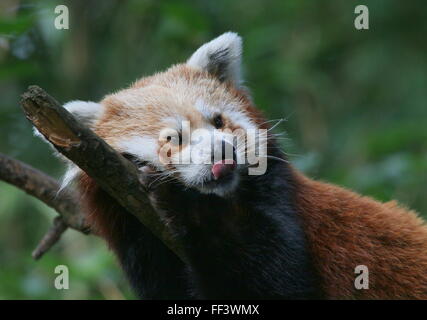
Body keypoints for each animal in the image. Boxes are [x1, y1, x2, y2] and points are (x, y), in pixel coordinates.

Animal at [36, 31, 427, 298]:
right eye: (172, 138)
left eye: (218, 122)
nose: (221, 152)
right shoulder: (142, 246)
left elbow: (271, 282)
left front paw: (185, 203)